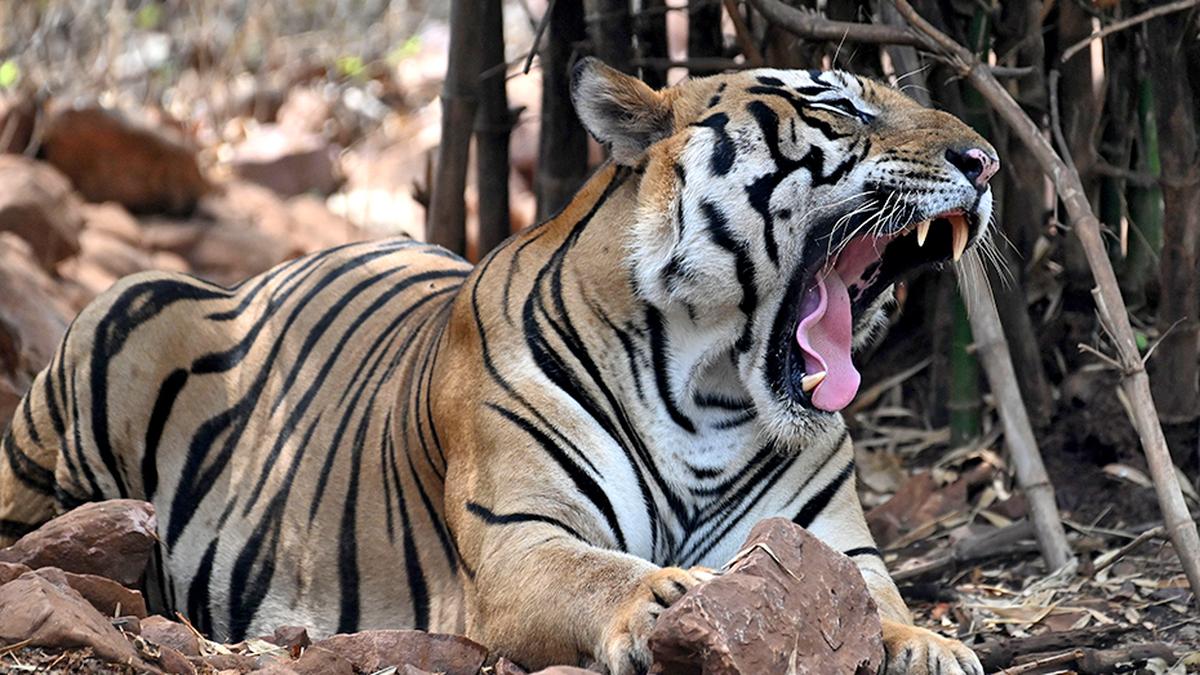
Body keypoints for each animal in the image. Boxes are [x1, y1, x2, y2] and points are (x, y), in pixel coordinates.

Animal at [0, 58, 998, 674]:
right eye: (837, 106)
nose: (986, 159)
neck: (713, 389)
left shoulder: (832, 544)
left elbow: (872, 600)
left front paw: (931, 644)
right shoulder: (518, 541)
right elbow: (603, 572)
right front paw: (668, 597)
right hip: (121, 311)